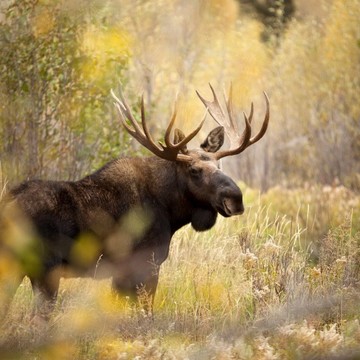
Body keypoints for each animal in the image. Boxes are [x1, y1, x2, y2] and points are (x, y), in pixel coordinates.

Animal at [0, 84, 268, 316]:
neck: (170, 209)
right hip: (44, 269)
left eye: (219, 165)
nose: (235, 198)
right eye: (194, 170)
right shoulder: (145, 263)